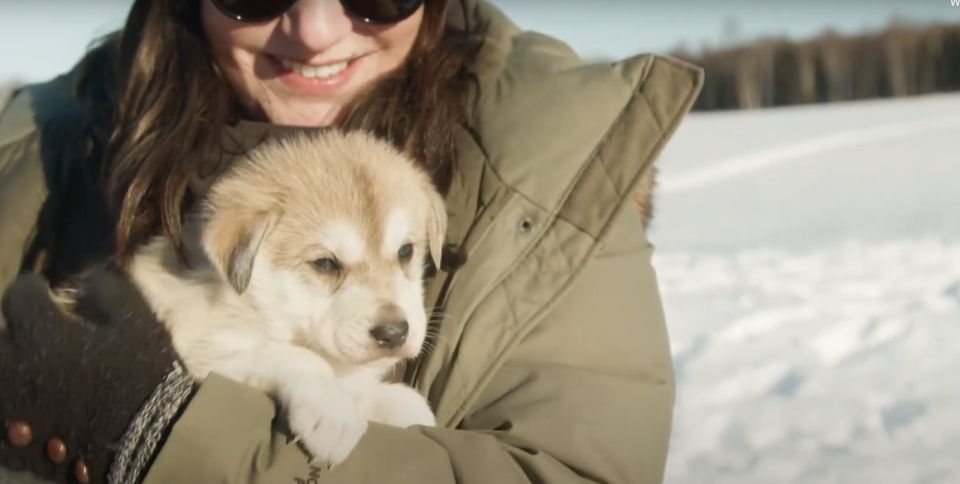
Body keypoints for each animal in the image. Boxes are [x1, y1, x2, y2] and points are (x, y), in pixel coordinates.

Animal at [125, 130, 448, 466]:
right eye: (326, 264)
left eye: (406, 251)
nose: (394, 333)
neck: (261, 306)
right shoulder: (206, 345)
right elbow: (301, 357)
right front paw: (334, 412)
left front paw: (401, 404)